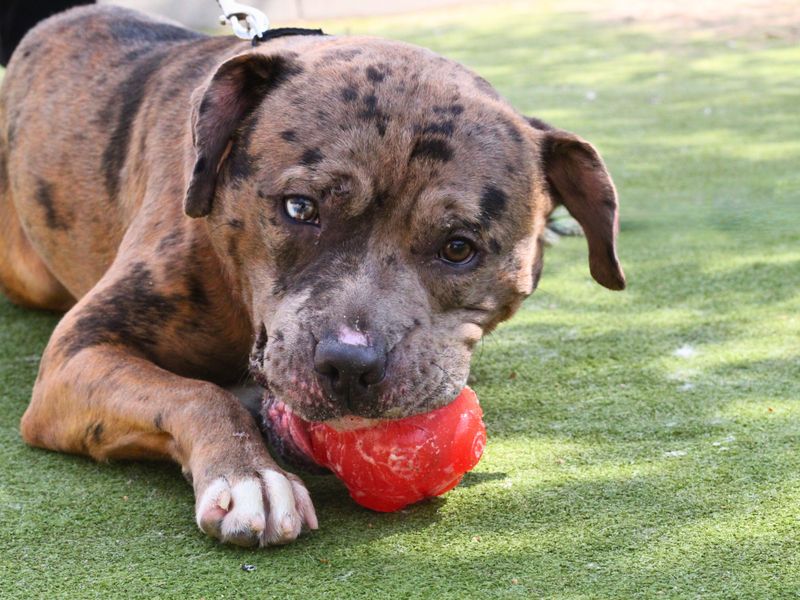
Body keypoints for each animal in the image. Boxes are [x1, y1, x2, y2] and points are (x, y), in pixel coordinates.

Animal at [0, 5, 624, 548]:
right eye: (300, 208)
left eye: (458, 247)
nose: (350, 364)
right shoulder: (76, 357)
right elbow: (196, 393)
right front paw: (249, 475)